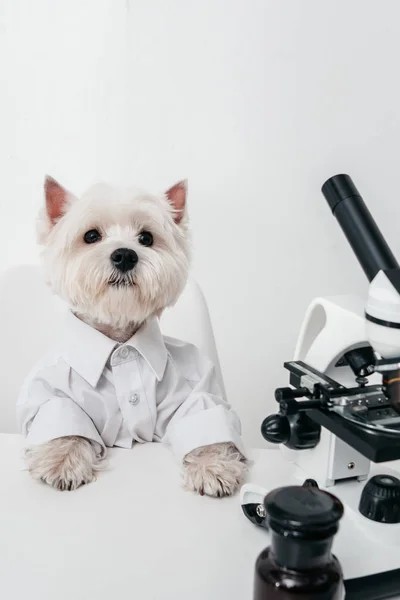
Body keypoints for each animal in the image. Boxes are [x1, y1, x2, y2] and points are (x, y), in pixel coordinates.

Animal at [18, 178, 247, 496]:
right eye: (91, 235)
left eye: (146, 238)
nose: (125, 254)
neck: (119, 340)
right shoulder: (50, 389)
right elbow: (63, 419)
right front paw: (62, 461)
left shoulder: (194, 387)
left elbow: (203, 416)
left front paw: (214, 466)